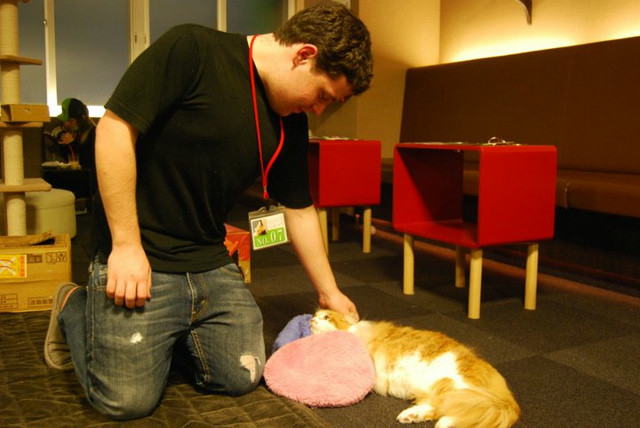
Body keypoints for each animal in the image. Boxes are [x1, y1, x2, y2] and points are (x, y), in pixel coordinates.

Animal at [310, 310, 520, 426]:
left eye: (326, 316)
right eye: (315, 315)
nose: (312, 320)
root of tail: (507, 398)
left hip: (453, 385)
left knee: (451, 406)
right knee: (441, 408)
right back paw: (413, 416)